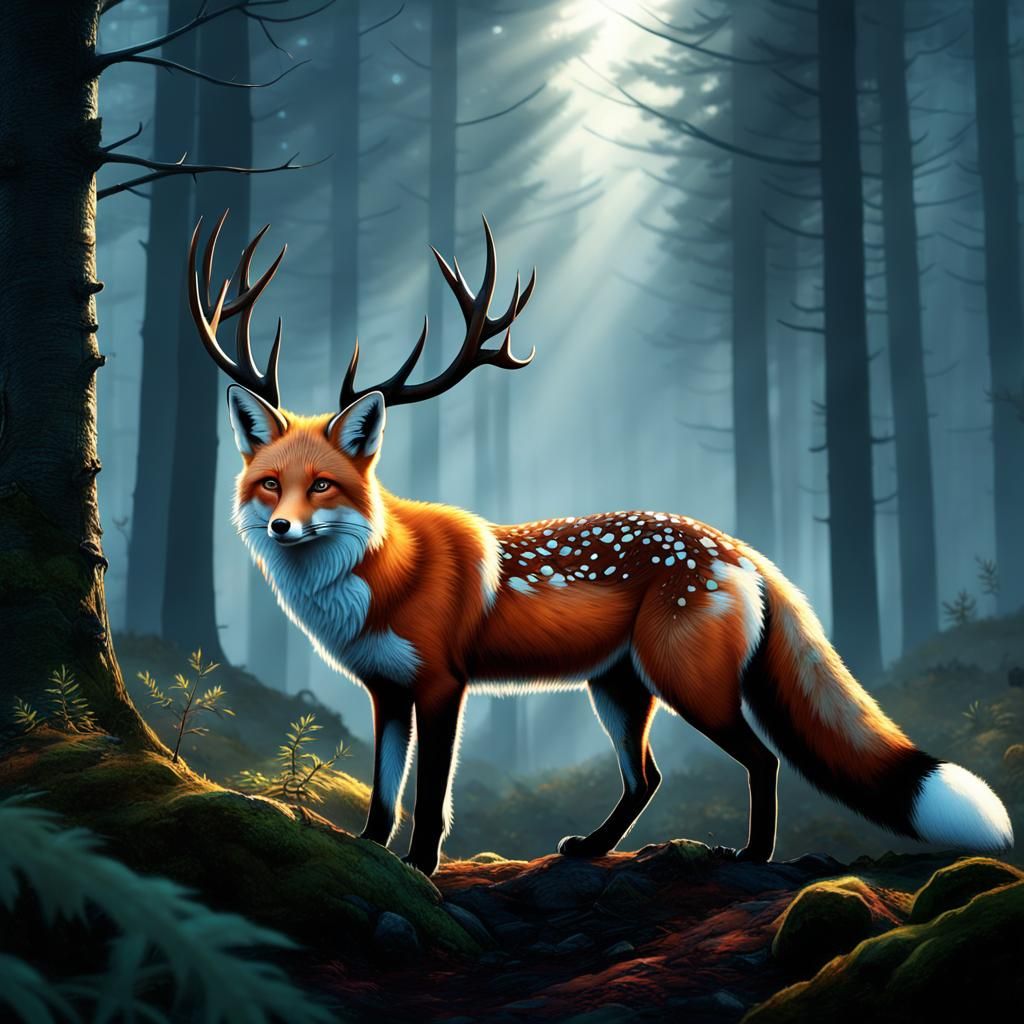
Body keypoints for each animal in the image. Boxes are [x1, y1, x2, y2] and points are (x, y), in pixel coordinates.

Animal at [187, 210, 1012, 876]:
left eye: (323, 486)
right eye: (271, 485)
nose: (282, 528)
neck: (379, 573)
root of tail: (740, 549)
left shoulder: (443, 687)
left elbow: (430, 797)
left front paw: (420, 867)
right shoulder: (387, 693)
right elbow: (385, 795)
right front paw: (367, 851)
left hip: (688, 687)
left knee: (761, 760)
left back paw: (751, 855)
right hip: (618, 689)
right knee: (646, 778)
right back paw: (593, 847)